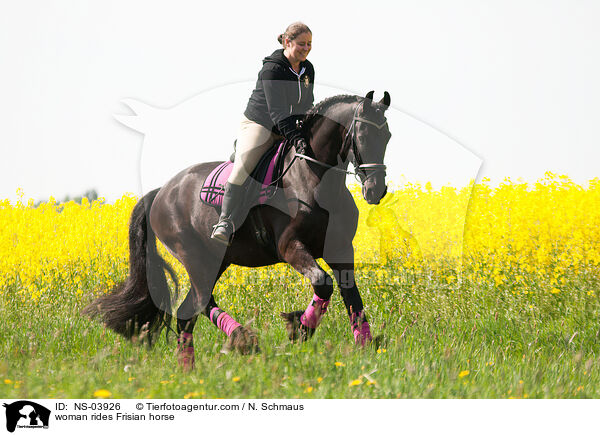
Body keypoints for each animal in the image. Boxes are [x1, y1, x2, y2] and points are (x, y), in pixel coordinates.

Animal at [85, 90, 394, 370]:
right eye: (363, 135)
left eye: (388, 136)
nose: (375, 190)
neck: (314, 179)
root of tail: (160, 192)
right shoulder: (290, 247)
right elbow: (323, 283)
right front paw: (299, 328)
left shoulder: (341, 249)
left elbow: (352, 298)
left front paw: (367, 350)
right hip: (195, 258)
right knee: (196, 306)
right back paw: (241, 340)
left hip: (216, 260)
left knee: (189, 313)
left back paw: (194, 370)